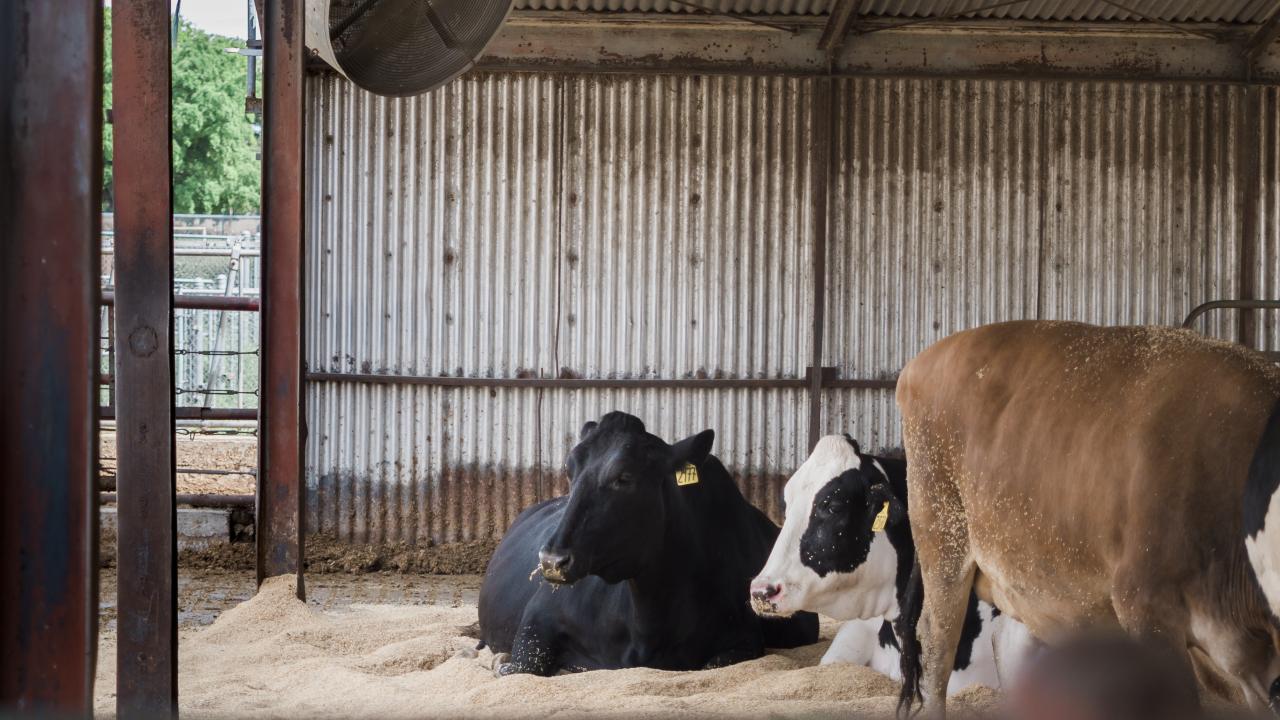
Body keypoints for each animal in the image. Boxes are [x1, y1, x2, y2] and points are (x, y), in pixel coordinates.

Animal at [477, 411, 819, 675]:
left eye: (624, 477)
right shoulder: (538, 617)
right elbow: (521, 666)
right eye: (568, 469)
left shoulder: (744, 638)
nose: (551, 560)